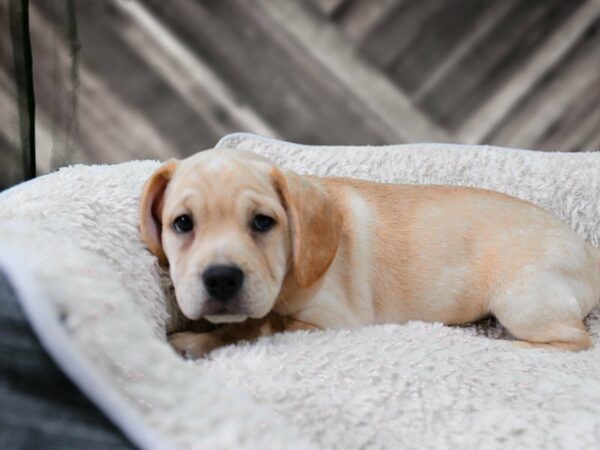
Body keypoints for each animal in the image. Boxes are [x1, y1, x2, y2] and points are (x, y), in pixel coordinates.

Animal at [139, 149, 600, 356]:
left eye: (263, 223)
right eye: (182, 224)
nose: (221, 279)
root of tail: (588, 250)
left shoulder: (331, 322)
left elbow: (259, 326)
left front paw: (198, 340)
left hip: (524, 300)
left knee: (574, 341)